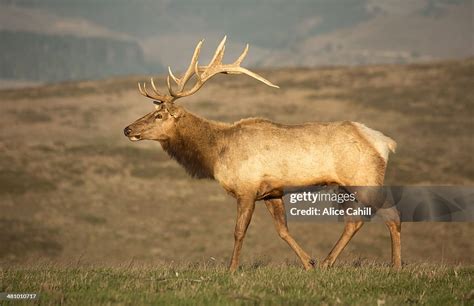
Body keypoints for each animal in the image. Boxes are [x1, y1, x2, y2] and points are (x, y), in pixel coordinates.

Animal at [125, 37, 400, 272]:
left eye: (159, 115)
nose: (127, 129)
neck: (215, 152)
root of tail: (385, 142)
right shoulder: (271, 192)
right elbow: (283, 230)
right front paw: (308, 263)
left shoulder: (247, 189)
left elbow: (239, 231)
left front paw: (231, 270)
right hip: (345, 185)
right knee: (355, 220)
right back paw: (326, 262)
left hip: (365, 179)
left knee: (391, 215)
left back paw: (395, 266)